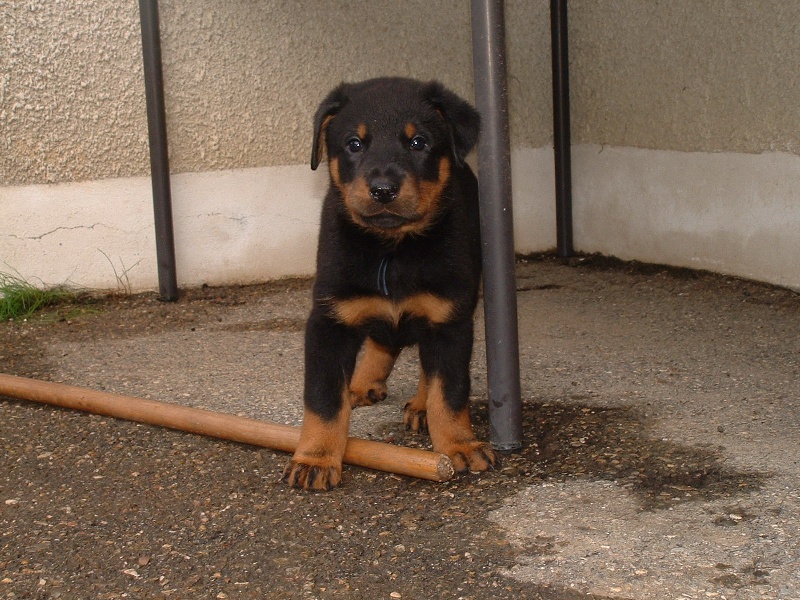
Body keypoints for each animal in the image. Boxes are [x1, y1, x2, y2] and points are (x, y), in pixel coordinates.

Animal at [283, 77, 500, 490]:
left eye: (418, 143)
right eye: (354, 143)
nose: (383, 189)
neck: (392, 250)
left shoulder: (450, 321)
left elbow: (449, 391)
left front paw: (459, 445)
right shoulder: (328, 320)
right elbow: (323, 398)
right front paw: (315, 458)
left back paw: (419, 405)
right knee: (381, 340)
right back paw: (361, 383)